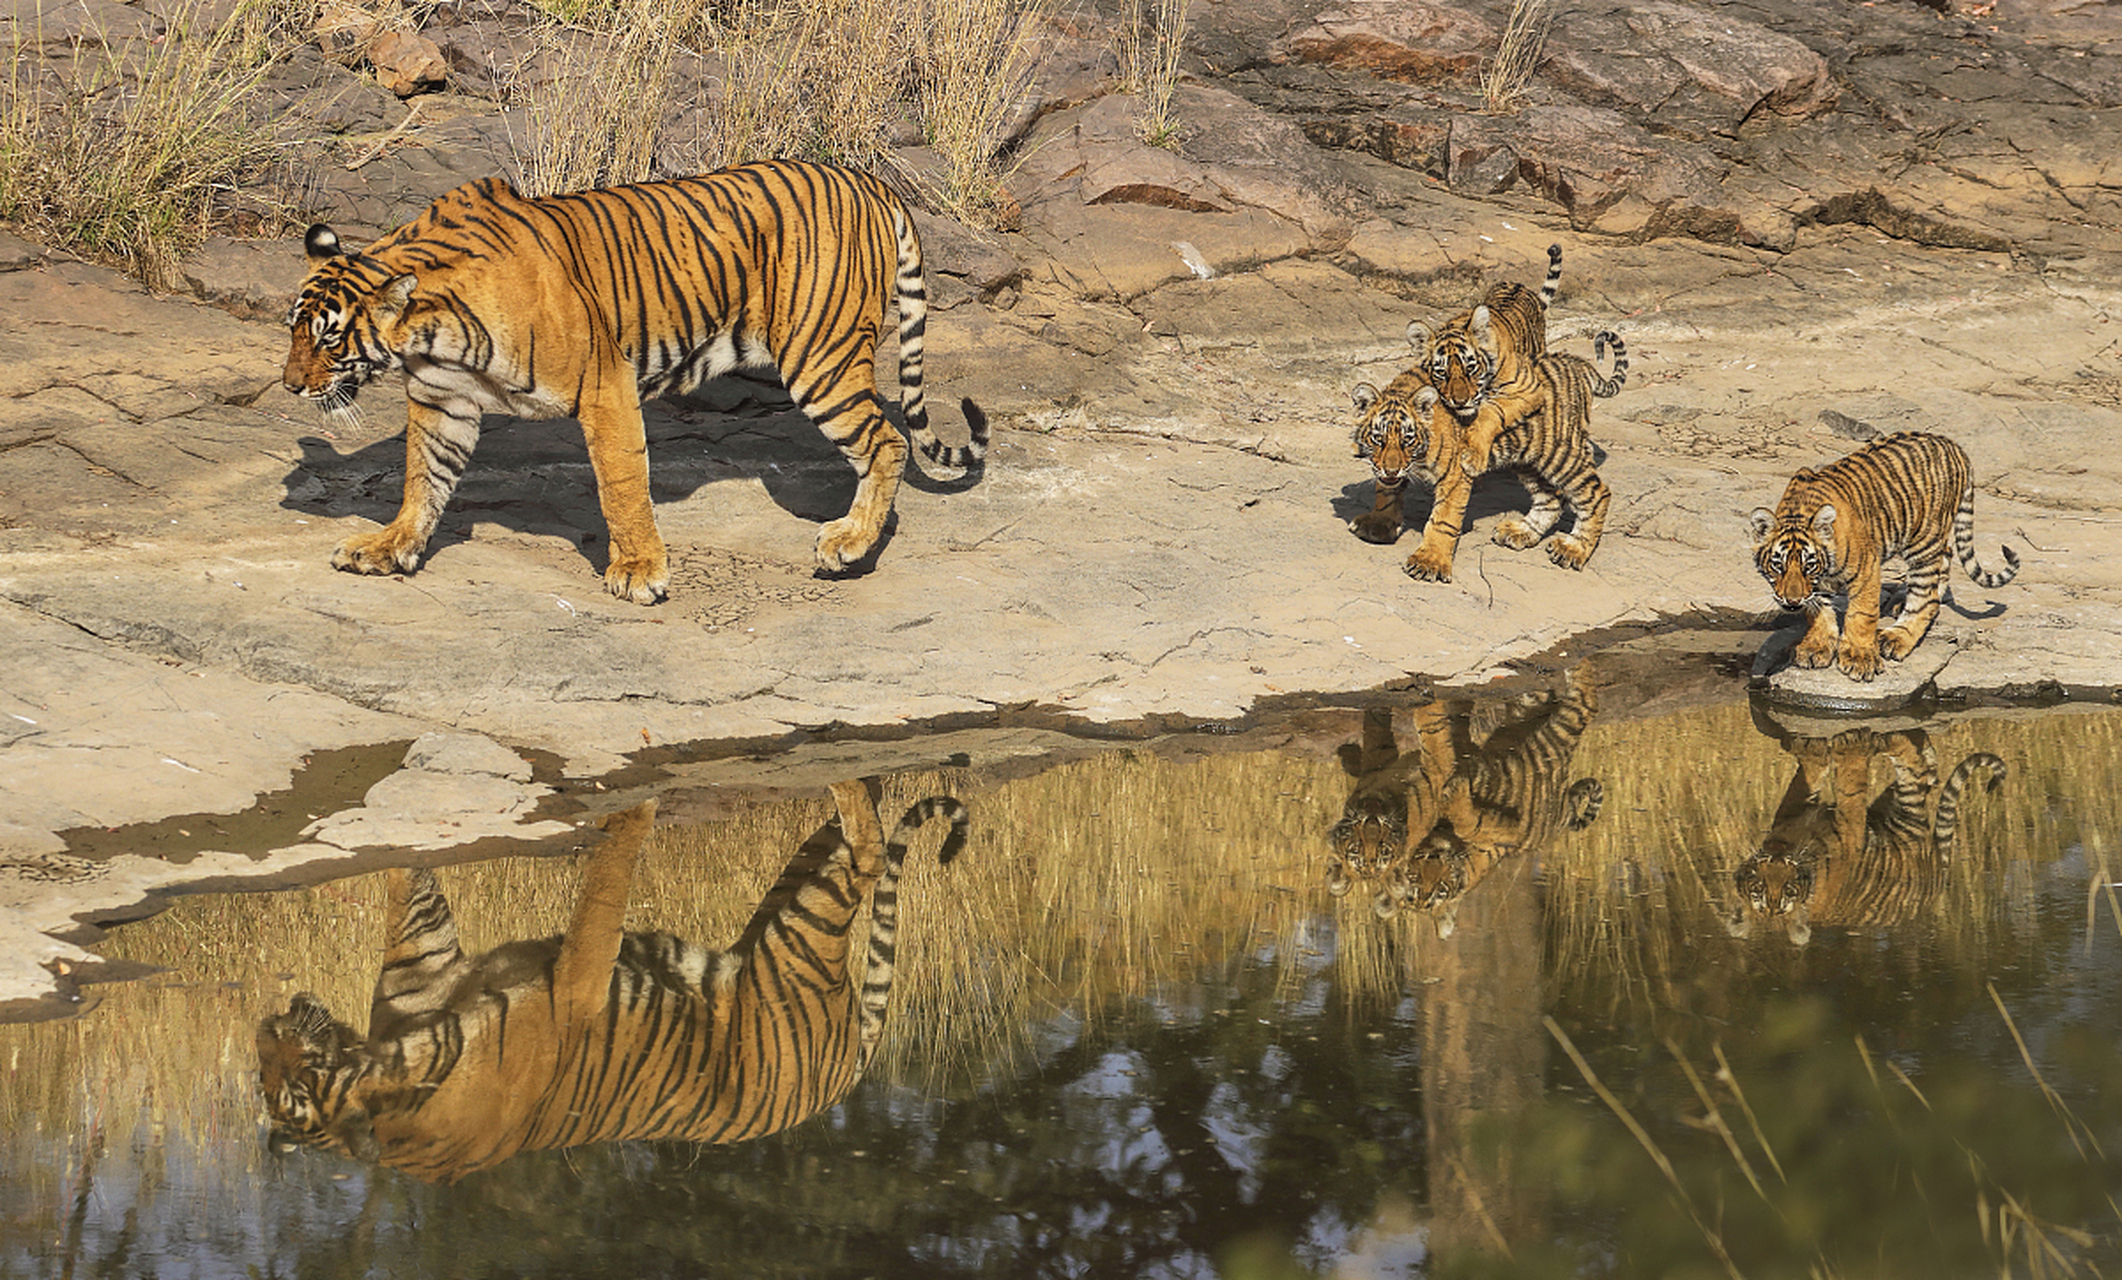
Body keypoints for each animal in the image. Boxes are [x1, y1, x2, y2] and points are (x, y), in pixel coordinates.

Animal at [275, 160, 993, 602]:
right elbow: (422, 482)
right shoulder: (441, 401)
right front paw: (389, 548)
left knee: (887, 441)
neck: (431, 333)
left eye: (330, 337)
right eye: (293, 330)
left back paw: (848, 544)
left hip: (822, 359)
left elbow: (621, 485)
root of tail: (869, 179)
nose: (289, 386)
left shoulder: (604, 383)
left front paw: (640, 572)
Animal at [1349, 331, 1629, 581]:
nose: (1391, 470)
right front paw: (1379, 524)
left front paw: (1430, 562)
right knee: (1550, 499)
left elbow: (1443, 520)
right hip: (1527, 459)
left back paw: (1574, 549)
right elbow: (1386, 493)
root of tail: (1578, 363)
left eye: (1407, 440)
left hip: (1558, 453)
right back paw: (1520, 532)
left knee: (1597, 493)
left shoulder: (1455, 474)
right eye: (1378, 439)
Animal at [1723, 725, 2003, 946]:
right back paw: (1885, 739)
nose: (1778, 862)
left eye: (1788, 890)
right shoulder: (1850, 832)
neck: (1790, 848)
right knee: (1915, 768)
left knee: (1923, 768)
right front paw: (1848, 745)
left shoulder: (1791, 812)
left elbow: (1809, 775)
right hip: (1907, 809)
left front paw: (1814, 746)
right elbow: (1851, 786)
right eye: (1759, 888)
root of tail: (1940, 872)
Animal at [1757, 433, 2020, 679]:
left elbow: (1861, 613)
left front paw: (1859, 658)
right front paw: (1815, 648)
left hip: (1924, 539)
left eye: (1808, 566)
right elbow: (1818, 610)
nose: (1792, 601)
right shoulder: (1819, 584)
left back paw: (1897, 637)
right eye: (1777, 566)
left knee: (1926, 597)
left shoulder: (1866, 567)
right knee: (1945, 559)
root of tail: (1952, 444)